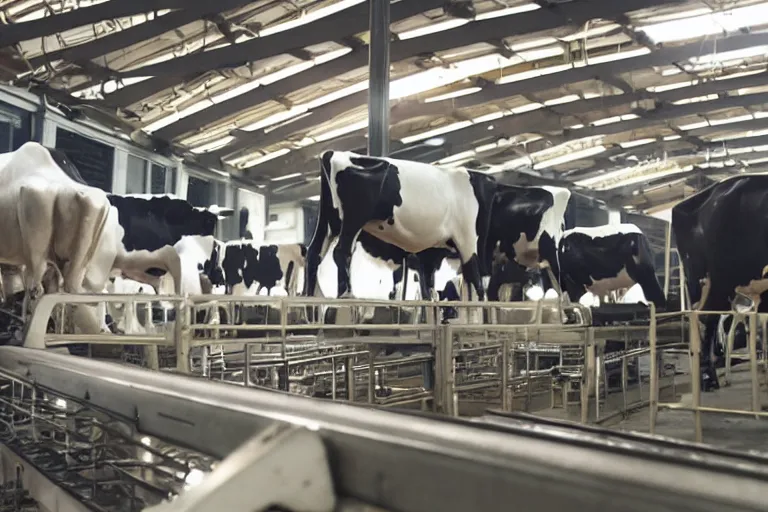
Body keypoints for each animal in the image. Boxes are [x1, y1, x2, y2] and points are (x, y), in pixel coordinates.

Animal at [306, 152, 498, 302]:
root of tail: (332, 154)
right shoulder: (467, 236)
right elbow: (474, 273)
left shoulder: (432, 250)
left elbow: (428, 280)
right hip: (354, 217)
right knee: (341, 250)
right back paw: (347, 293)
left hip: (330, 218)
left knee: (314, 251)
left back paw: (308, 295)